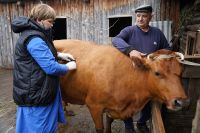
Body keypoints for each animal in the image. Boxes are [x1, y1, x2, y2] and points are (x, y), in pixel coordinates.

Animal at [53, 39, 189, 133]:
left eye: (181, 72)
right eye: (157, 73)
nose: (181, 101)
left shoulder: (112, 109)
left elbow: (108, 126)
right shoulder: (94, 106)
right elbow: (100, 129)